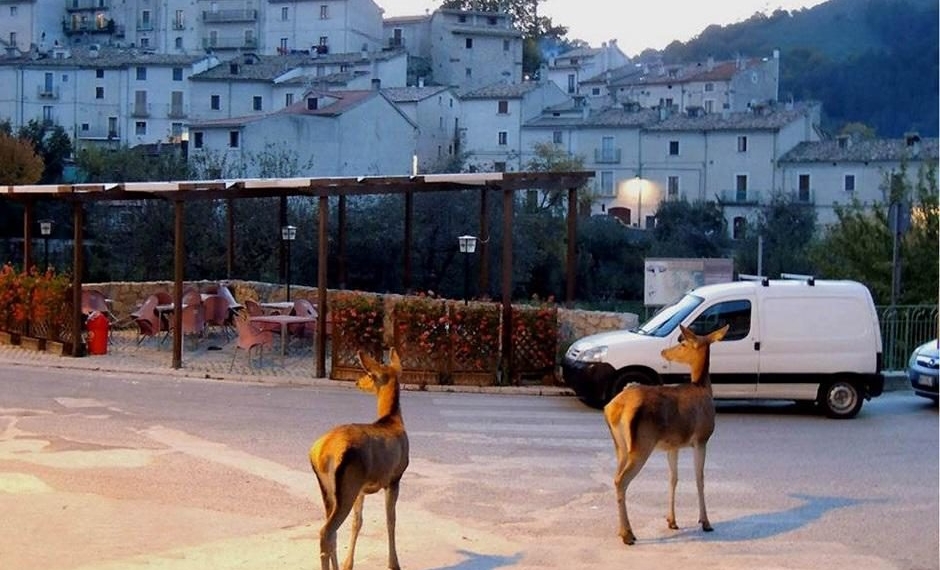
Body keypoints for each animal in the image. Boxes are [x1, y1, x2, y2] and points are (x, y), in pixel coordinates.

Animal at [310, 346, 410, 568]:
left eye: (369, 374)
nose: (357, 382)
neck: (392, 420)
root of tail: (321, 453)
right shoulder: (395, 477)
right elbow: (391, 520)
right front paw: (394, 564)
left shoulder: (362, 488)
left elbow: (358, 522)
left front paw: (349, 564)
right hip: (348, 484)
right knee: (326, 531)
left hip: (330, 488)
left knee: (331, 532)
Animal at [604, 322, 728, 544]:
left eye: (683, 343)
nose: (663, 351)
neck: (704, 388)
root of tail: (613, 408)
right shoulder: (702, 438)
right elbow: (700, 478)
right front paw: (705, 522)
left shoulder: (673, 445)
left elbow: (673, 478)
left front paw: (672, 521)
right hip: (642, 444)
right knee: (621, 480)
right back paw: (628, 534)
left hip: (620, 445)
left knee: (615, 476)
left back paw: (621, 530)